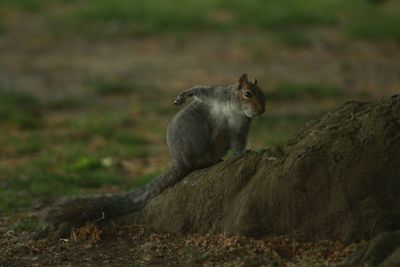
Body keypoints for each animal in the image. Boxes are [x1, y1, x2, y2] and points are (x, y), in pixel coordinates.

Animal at [33, 74, 266, 241]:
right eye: (248, 93)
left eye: (263, 95)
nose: (262, 111)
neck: (236, 109)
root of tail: (178, 161)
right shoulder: (217, 95)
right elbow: (202, 89)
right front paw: (183, 95)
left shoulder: (239, 130)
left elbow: (238, 143)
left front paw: (244, 152)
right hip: (192, 126)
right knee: (192, 159)